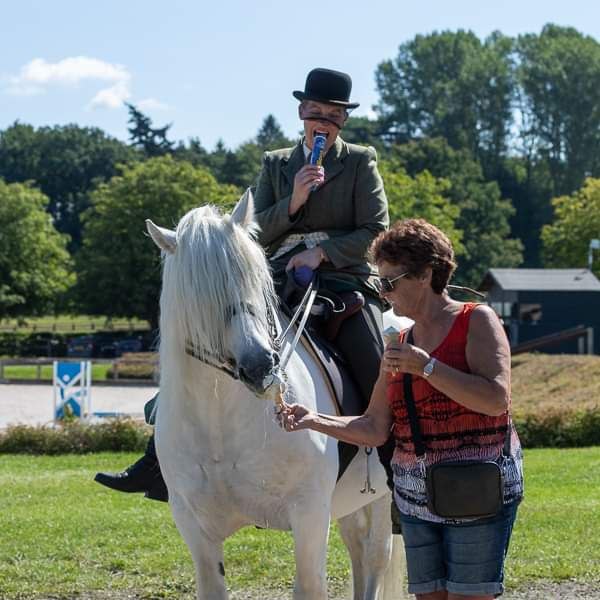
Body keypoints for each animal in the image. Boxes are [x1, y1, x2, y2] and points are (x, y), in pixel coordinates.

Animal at [145, 191, 408, 600]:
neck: (220, 423)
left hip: (381, 498)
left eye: (256, 280)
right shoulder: (196, 529)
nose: (260, 366)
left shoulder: (310, 516)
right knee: (358, 551)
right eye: (197, 296)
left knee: (375, 558)